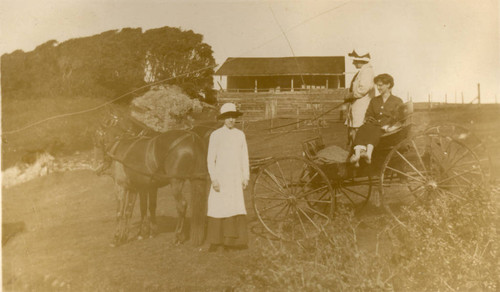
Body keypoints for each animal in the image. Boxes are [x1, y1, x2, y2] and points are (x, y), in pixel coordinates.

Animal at [96, 109, 214, 246]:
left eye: (98, 135)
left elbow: (121, 212)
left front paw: (117, 238)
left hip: (176, 181)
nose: (101, 163)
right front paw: (128, 235)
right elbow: (132, 210)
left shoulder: (122, 186)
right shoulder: (138, 187)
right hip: (197, 178)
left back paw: (178, 236)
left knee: (182, 205)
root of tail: (192, 138)